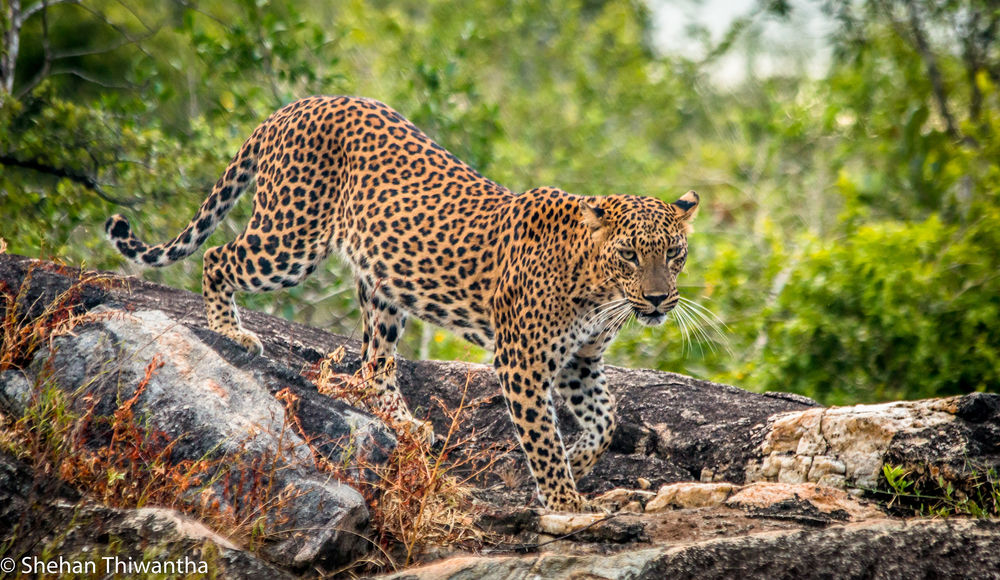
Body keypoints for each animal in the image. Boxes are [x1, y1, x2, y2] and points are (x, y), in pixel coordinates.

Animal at [101, 96, 696, 512]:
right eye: (629, 255)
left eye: (674, 252)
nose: (658, 299)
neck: (599, 290)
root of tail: (297, 105)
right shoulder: (522, 361)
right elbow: (543, 437)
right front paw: (565, 500)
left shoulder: (580, 361)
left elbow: (605, 418)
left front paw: (579, 463)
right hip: (290, 238)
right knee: (219, 255)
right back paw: (231, 330)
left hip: (382, 287)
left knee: (373, 363)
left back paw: (405, 423)